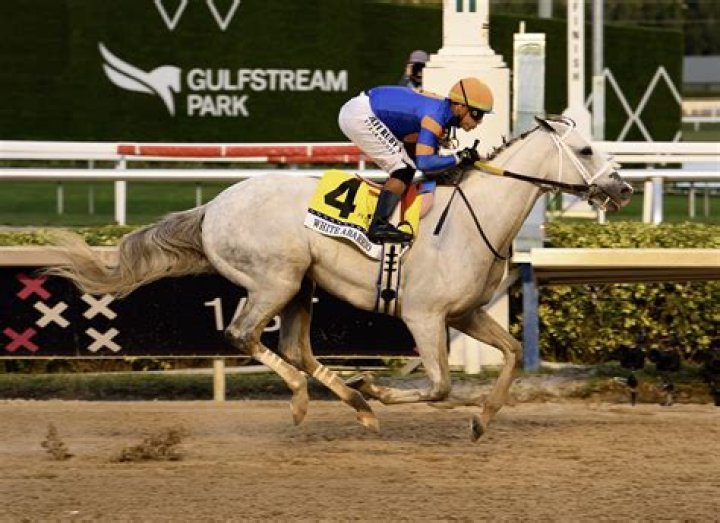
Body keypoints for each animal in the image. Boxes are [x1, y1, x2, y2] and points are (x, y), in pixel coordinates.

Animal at [46, 116, 632, 440]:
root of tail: (212, 207)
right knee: (243, 334)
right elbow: (441, 385)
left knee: (296, 348)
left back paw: (357, 408)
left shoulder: (464, 314)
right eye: (586, 150)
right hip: (274, 281)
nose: (623, 189)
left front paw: (481, 419)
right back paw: (315, 399)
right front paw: (378, 386)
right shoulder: (425, 316)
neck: (475, 217)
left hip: (302, 286)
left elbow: (509, 354)